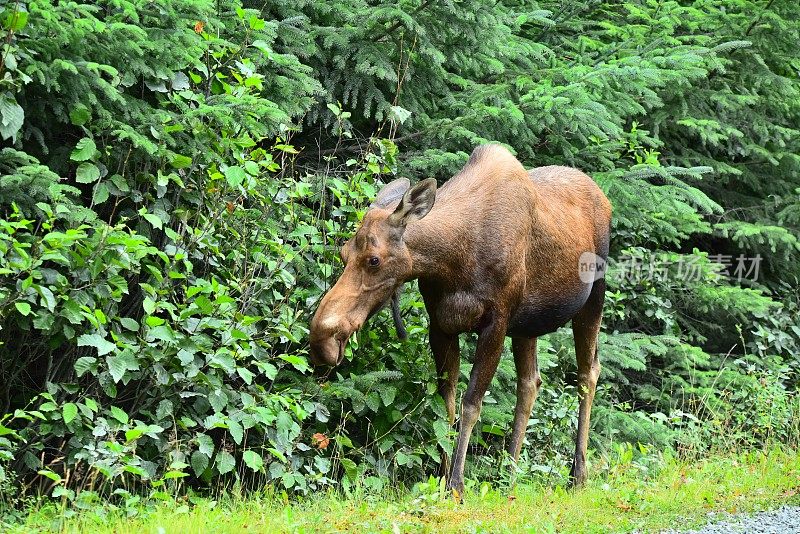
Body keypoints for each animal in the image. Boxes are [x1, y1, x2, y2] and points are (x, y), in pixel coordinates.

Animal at [310, 144, 608, 496]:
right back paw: (508, 474)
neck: (451, 260)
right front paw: (441, 476)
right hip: (527, 324)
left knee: (587, 374)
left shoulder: (496, 322)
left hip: (593, 298)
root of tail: (603, 197)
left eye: (374, 260)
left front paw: (456, 484)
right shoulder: (440, 325)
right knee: (530, 382)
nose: (322, 342)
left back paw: (578, 474)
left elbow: (470, 404)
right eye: (343, 253)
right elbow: (446, 402)